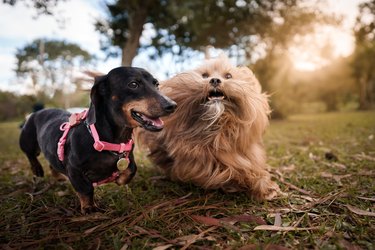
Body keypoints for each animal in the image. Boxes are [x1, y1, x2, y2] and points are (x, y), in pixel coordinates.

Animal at [140, 55, 280, 200]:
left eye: (228, 76)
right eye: (205, 75)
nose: (215, 80)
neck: (216, 130)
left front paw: (262, 185)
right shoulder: (194, 164)